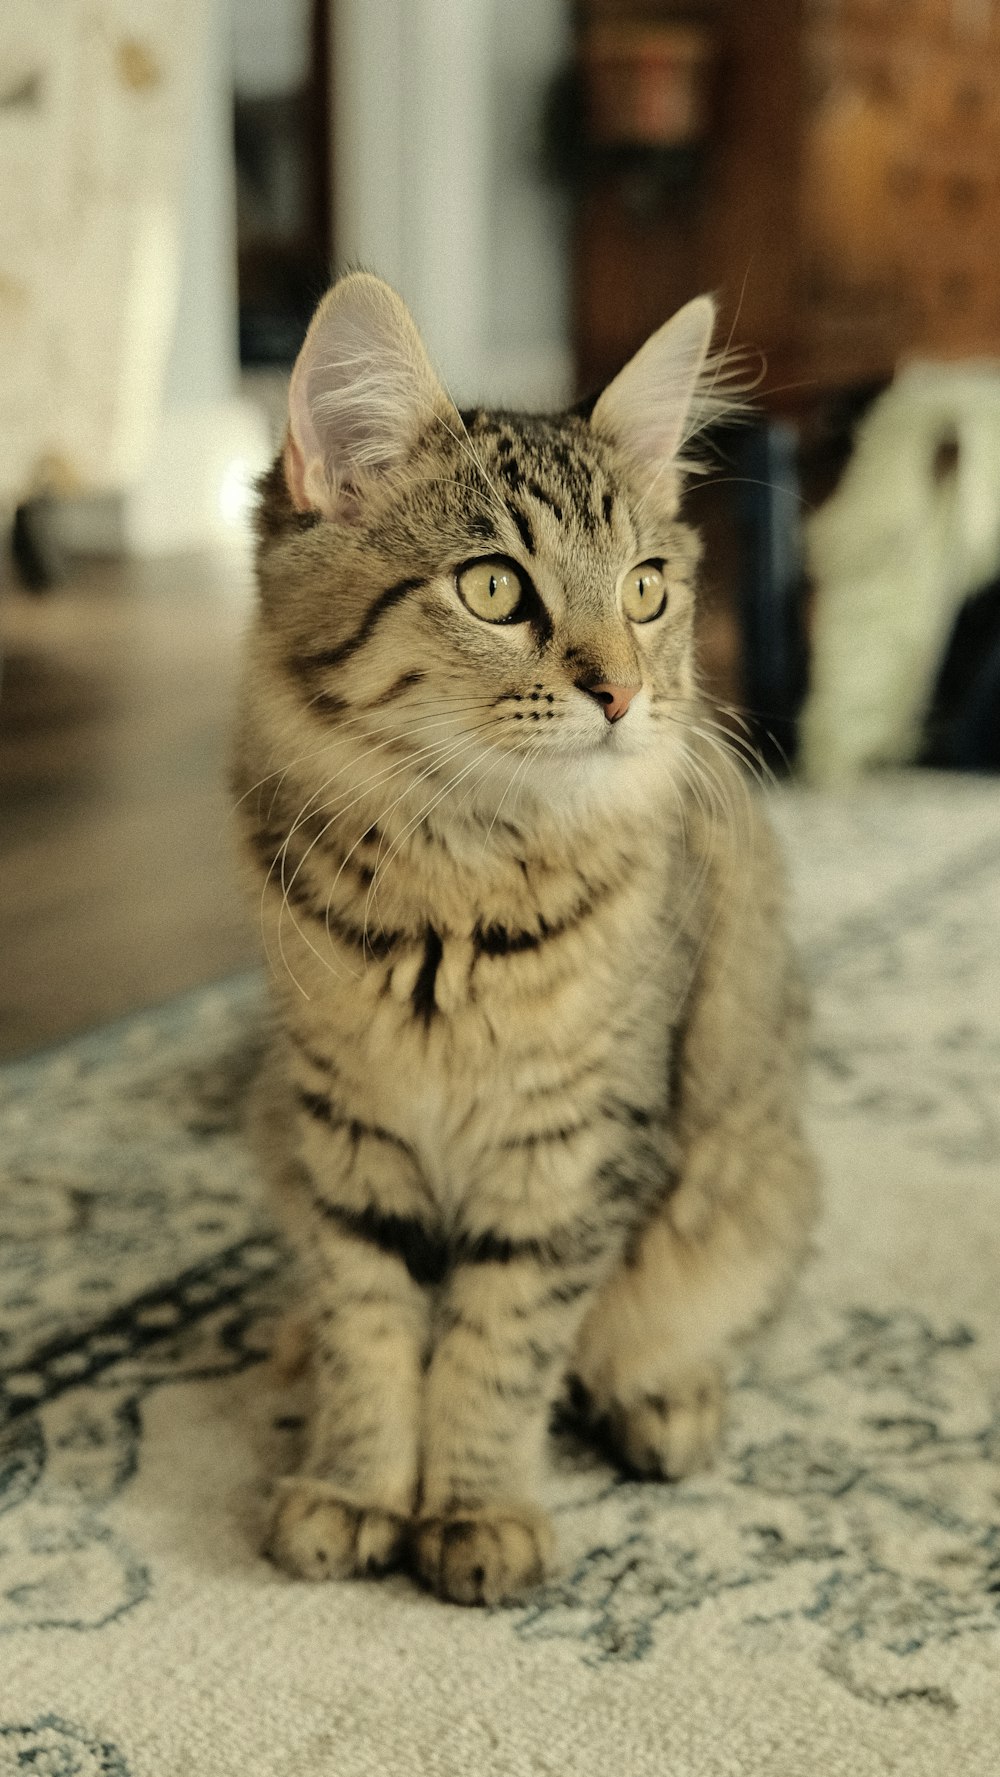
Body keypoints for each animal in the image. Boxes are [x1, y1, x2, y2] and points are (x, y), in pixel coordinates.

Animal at [236, 270, 820, 1606]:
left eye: (646, 589)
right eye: (495, 589)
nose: (622, 692)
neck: (449, 895)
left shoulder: (569, 1151)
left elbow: (493, 1351)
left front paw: (472, 1510)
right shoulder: (347, 1132)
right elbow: (370, 1328)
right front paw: (354, 1488)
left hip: (749, 1186)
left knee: (681, 1323)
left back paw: (666, 1402)